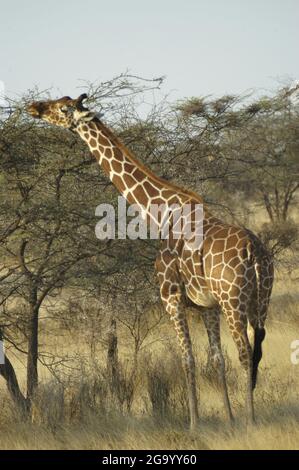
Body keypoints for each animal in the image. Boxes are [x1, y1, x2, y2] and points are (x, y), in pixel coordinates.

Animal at [27, 94, 274, 430]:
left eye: (63, 108)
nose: (34, 107)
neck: (161, 214)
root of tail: (255, 253)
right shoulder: (207, 305)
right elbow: (216, 359)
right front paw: (229, 419)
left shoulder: (170, 296)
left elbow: (188, 359)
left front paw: (194, 424)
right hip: (260, 299)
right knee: (255, 347)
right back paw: (247, 417)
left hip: (233, 300)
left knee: (246, 352)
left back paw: (252, 421)